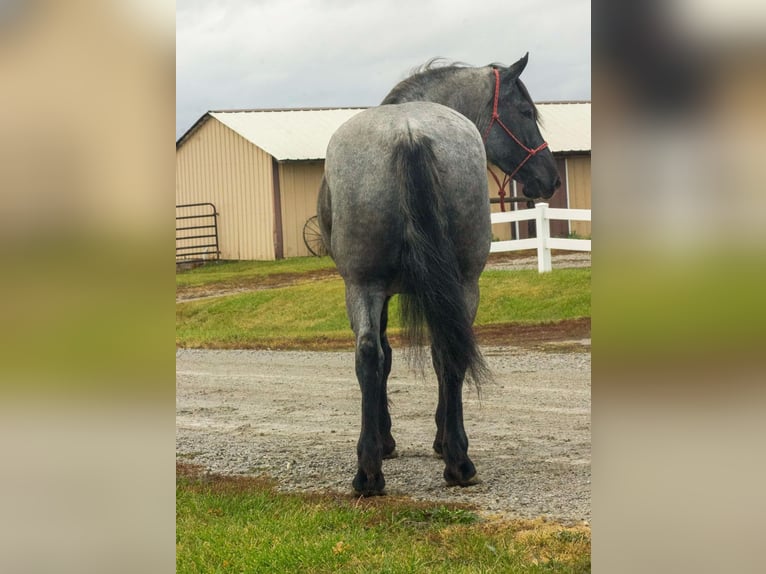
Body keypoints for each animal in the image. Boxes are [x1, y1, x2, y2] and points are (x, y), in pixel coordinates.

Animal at [316, 54, 560, 498]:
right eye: (525, 112)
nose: (550, 178)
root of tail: (409, 132)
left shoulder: (383, 292)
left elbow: (386, 355)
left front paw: (391, 440)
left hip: (366, 285)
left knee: (377, 354)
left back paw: (382, 469)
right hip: (453, 283)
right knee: (437, 352)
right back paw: (448, 462)